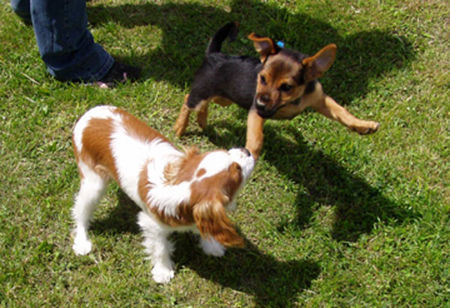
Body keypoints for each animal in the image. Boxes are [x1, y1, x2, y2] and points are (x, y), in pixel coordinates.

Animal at [70, 104, 253, 282]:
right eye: (238, 171)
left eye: (227, 152)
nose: (247, 150)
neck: (180, 186)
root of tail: (90, 115)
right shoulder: (152, 223)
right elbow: (160, 248)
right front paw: (163, 271)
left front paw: (212, 246)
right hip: (94, 183)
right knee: (81, 212)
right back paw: (82, 241)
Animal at [173, 22, 380, 159]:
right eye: (262, 79)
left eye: (286, 87)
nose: (259, 102)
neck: (294, 100)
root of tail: (214, 54)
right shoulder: (257, 113)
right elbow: (256, 139)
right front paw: (248, 156)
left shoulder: (320, 99)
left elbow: (342, 112)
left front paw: (364, 126)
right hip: (202, 92)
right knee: (188, 100)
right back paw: (180, 127)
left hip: (224, 98)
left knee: (205, 103)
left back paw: (202, 121)